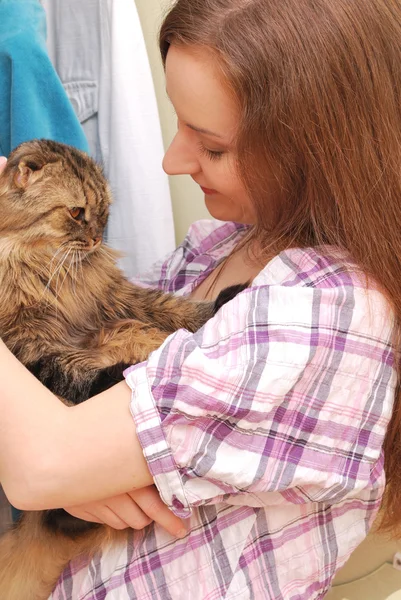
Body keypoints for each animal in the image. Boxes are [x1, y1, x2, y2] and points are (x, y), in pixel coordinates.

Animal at [0, 141, 245, 600]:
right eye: (76, 212)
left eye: (103, 212)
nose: (97, 238)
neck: (47, 268)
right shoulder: (30, 344)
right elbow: (76, 372)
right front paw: (130, 370)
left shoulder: (116, 298)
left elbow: (172, 307)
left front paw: (222, 302)